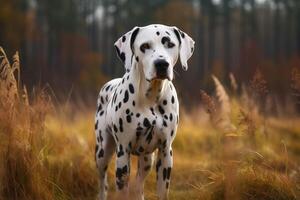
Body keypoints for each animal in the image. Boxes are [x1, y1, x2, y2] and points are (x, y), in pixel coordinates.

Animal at [95, 24, 196, 199]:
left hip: (147, 160)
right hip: (102, 152)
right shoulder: (123, 153)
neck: (151, 98)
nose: (161, 64)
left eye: (170, 44)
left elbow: (162, 192)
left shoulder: (165, 153)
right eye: (145, 46)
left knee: (139, 185)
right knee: (103, 182)